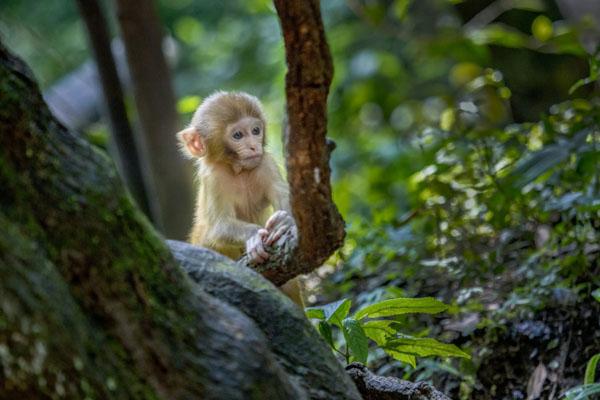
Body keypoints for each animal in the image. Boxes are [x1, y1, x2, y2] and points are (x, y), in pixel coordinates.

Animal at [177, 90, 300, 304]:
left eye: (256, 131)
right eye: (238, 135)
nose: (253, 146)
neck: (239, 171)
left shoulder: (264, 163)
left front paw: (285, 221)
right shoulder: (213, 177)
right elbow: (218, 228)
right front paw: (254, 235)